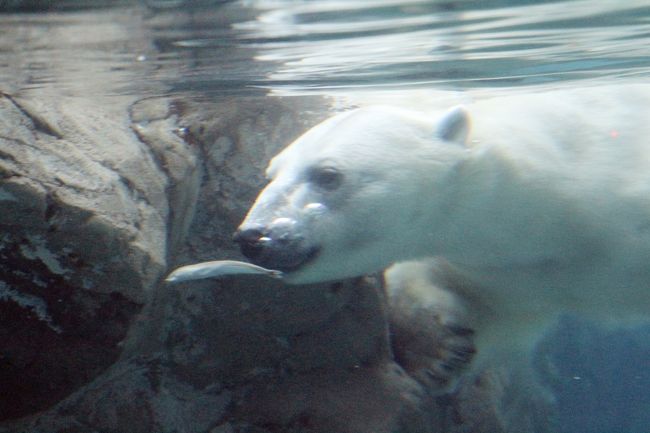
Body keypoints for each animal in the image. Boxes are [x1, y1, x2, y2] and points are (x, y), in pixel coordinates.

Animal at [232, 83, 648, 384]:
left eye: (328, 175)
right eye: (270, 174)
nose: (253, 237)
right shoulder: (507, 270)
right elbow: (487, 308)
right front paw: (437, 351)